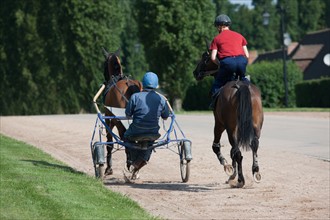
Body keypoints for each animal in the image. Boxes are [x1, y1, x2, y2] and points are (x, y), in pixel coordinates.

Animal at [100, 47, 142, 175]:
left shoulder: (109, 119)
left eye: (104, 64)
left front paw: (109, 168)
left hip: (119, 122)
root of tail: (129, 84)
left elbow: (109, 142)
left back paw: (130, 164)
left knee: (126, 140)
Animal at [193, 46, 262, 187]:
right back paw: (256, 172)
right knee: (254, 145)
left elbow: (217, 147)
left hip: (230, 128)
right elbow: (232, 151)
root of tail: (240, 86)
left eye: (204, 57)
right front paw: (232, 174)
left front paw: (228, 168)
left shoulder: (219, 124)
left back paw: (240, 180)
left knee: (238, 153)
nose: (195, 72)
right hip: (256, 125)